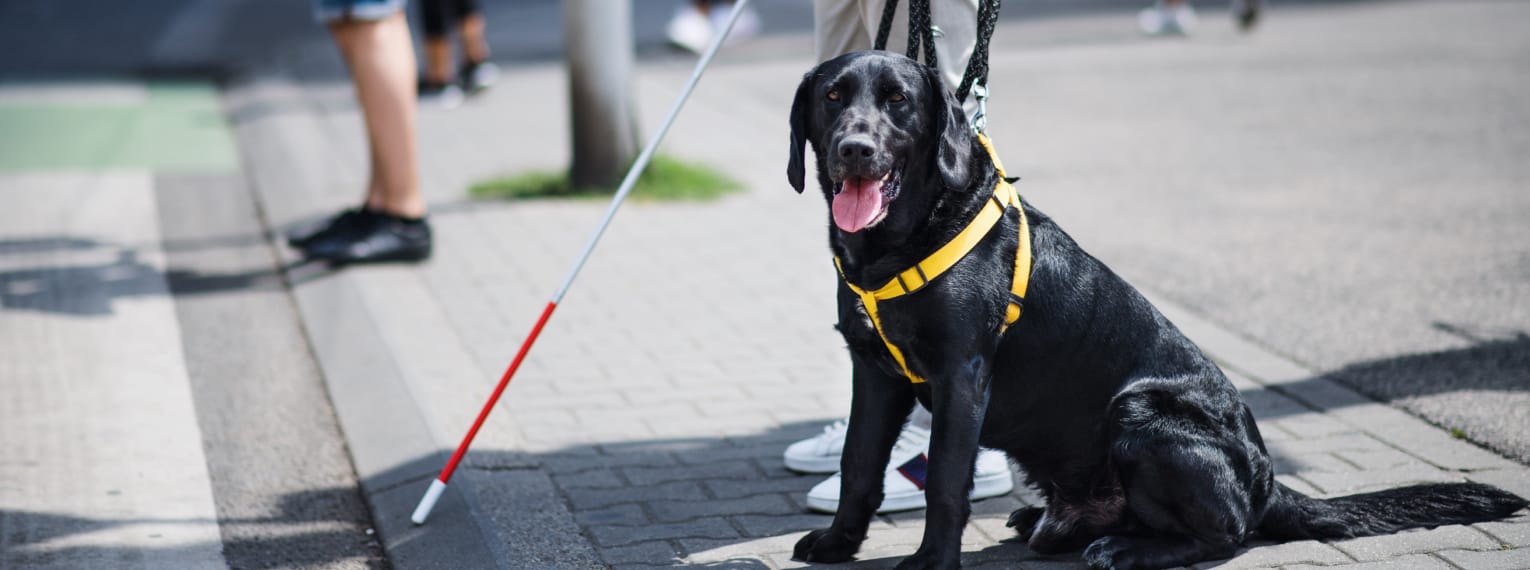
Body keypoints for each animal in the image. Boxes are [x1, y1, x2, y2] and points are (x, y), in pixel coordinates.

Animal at [783, 48, 1523, 568]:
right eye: (833, 97)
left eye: (899, 102)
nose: (855, 148)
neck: (897, 244)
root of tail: (1266, 482)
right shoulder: (874, 373)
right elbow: (857, 464)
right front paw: (838, 542)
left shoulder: (961, 375)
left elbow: (944, 479)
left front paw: (932, 560)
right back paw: (1050, 522)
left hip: (1140, 413)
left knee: (1226, 535)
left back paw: (1127, 548)